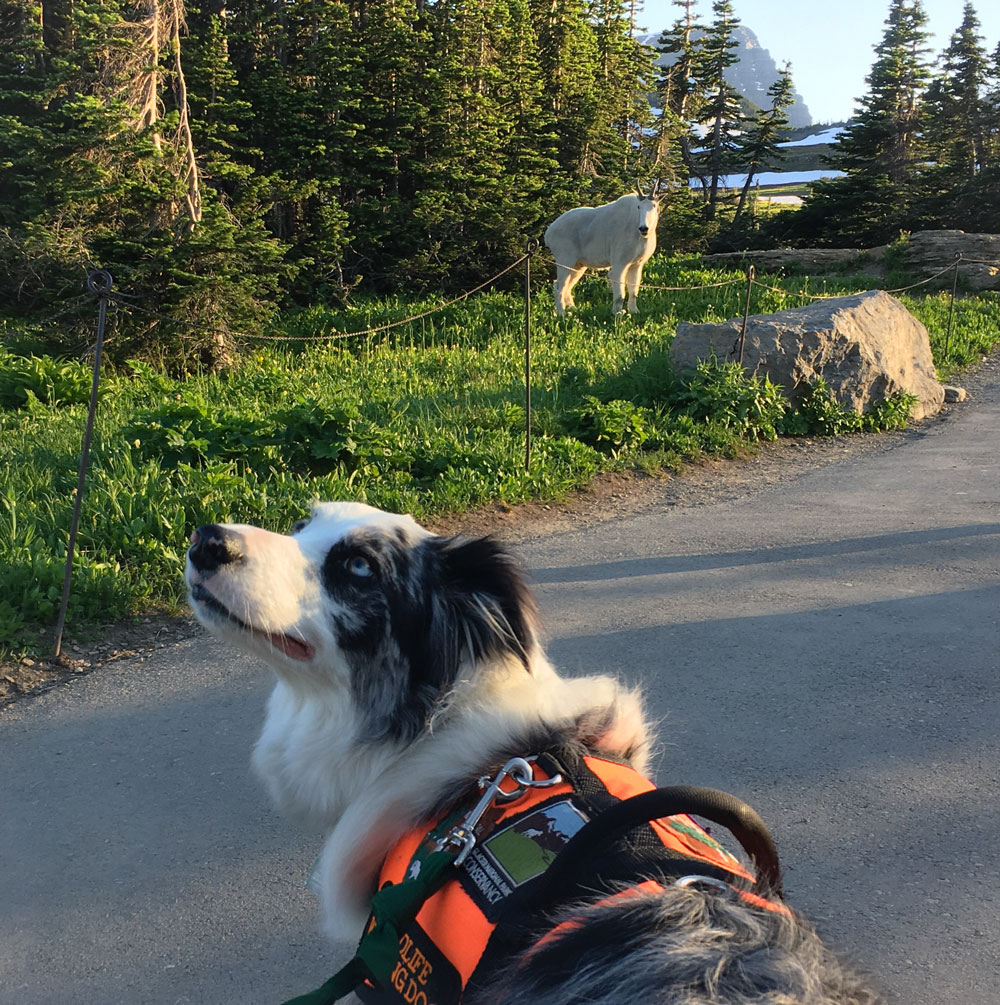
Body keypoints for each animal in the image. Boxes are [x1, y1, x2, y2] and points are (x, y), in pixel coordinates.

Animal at [542, 180, 659, 313]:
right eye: (639, 207)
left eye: (654, 206)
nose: (644, 228)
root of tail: (548, 234)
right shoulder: (620, 262)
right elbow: (620, 292)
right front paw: (617, 313)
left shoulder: (637, 264)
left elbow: (634, 290)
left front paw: (634, 311)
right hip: (565, 258)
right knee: (559, 286)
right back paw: (562, 314)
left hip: (578, 265)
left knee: (566, 285)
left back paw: (573, 310)